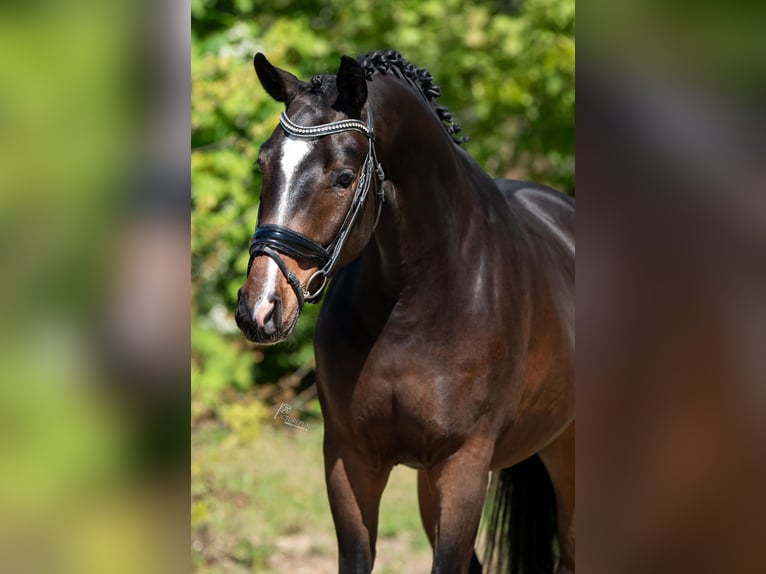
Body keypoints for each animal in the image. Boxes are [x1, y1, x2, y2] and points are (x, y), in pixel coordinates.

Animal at [235, 50, 575, 574]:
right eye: (263, 165)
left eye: (344, 177)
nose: (261, 308)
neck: (417, 300)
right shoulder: (351, 459)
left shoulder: (463, 466)